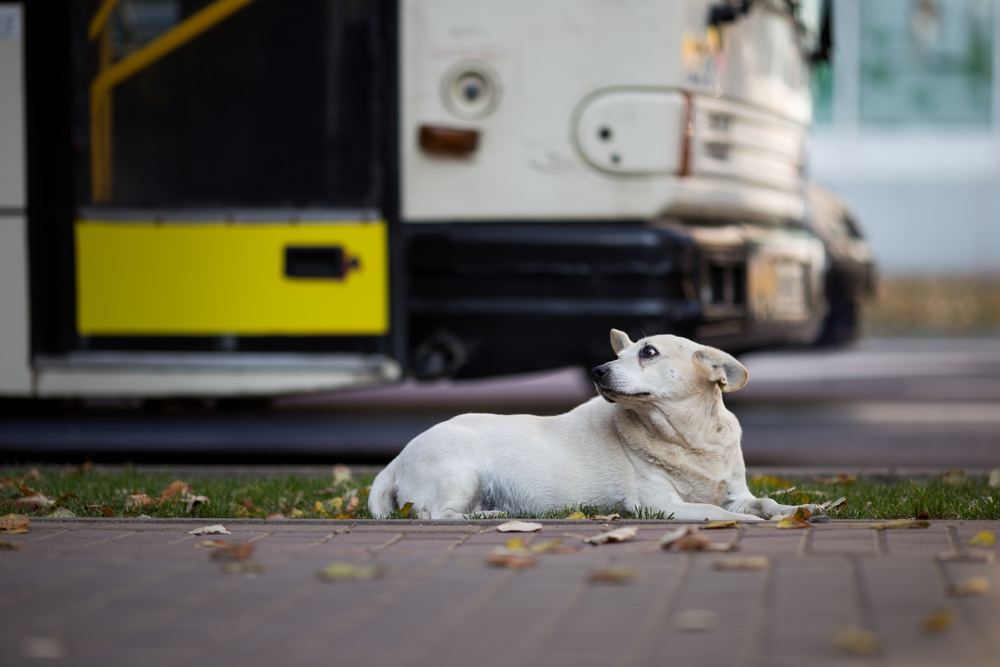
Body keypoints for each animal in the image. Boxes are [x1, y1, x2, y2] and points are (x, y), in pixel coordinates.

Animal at [368, 328, 820, 520]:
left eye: (648, 352)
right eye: (619, 356)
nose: (597, 370)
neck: (689, 441)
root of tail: (395, 461)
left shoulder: (737, 495)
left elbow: (764, 503)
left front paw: (800, 509)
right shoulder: (659, 504)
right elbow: (720, 513)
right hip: (461, 476)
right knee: (437, 516)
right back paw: (489, 517)